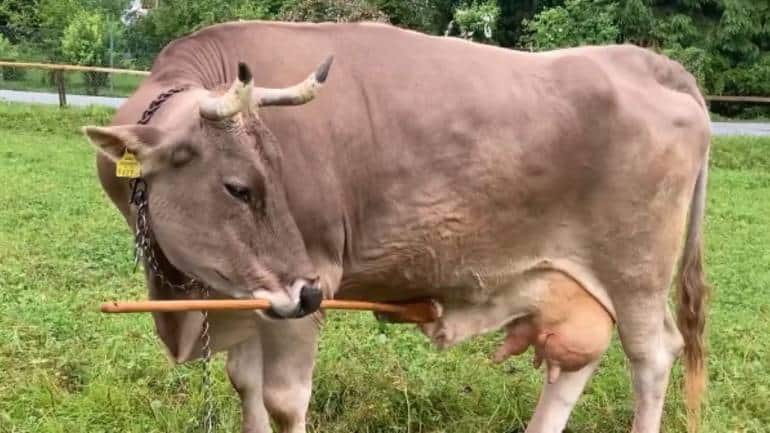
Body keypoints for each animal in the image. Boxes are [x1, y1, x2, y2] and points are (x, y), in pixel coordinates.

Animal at [82, 20, 711, 433]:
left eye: (278, 175)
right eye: (239, 187)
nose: (307, 292)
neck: (187, 302)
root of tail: (646, 61)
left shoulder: (306, 283)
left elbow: (283, 401)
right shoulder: (255, 297)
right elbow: (246, 386)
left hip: (636, 272)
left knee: (653, 357)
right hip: (580, 280)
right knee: (577, 358)